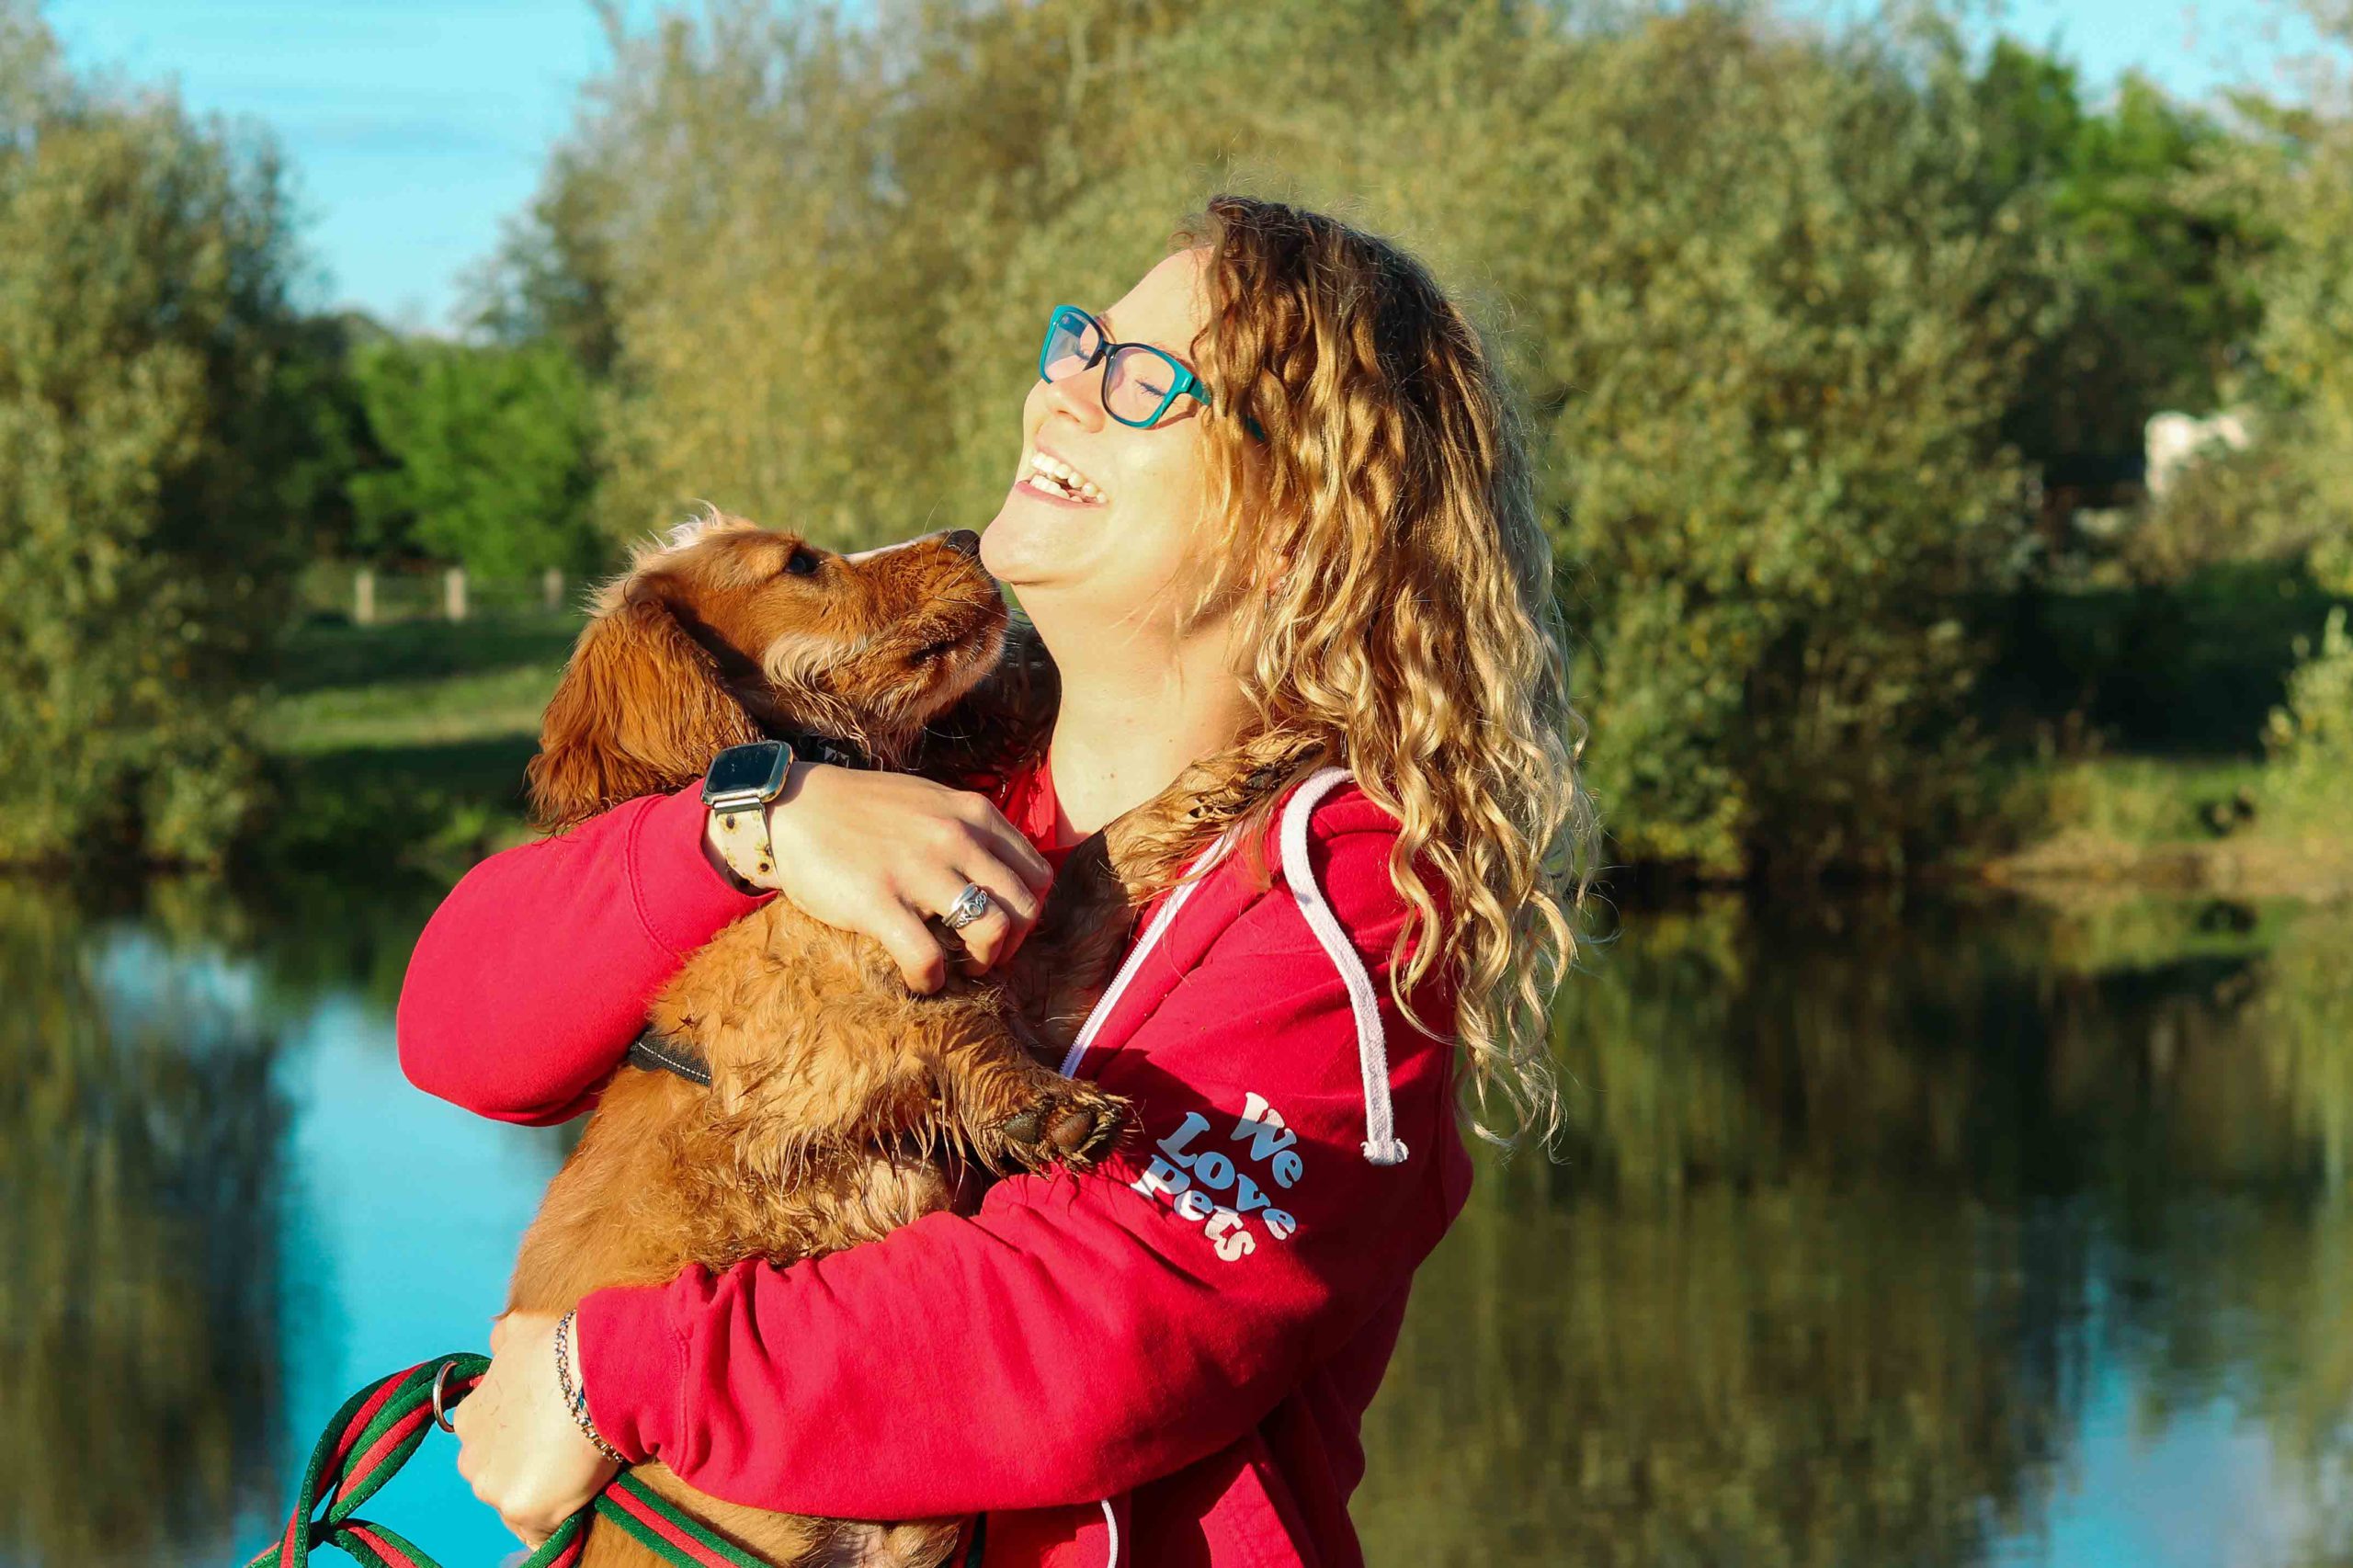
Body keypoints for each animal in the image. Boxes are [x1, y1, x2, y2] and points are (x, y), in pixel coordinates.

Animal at [510, 515, 1133, 1562]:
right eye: (800, 563)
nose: (969, 532)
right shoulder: (798, 1039)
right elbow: (944, 1021)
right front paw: (1042, 1106)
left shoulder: (1020, 952)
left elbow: (1100, 855)